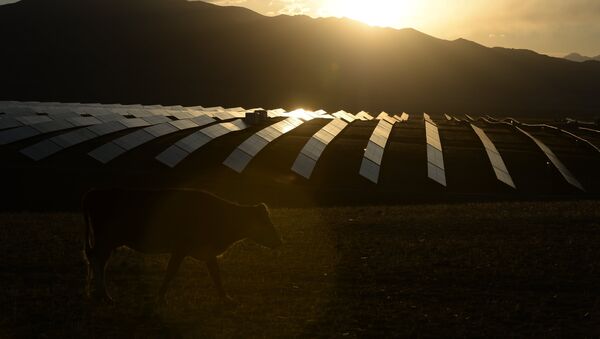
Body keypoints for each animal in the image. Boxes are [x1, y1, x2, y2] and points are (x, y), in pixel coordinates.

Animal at [81, 189, 282, 306]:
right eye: (265, 222)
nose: (279, 241)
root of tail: (94, 192)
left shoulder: (207, 251)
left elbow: (216, 275)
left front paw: (226, 298)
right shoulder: (180, 248)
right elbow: (171, 271)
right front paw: (161, 297)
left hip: (107, 241)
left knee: (96, 260)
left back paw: (98, 294)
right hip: (106, 239)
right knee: (96, 260)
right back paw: (104, 295)